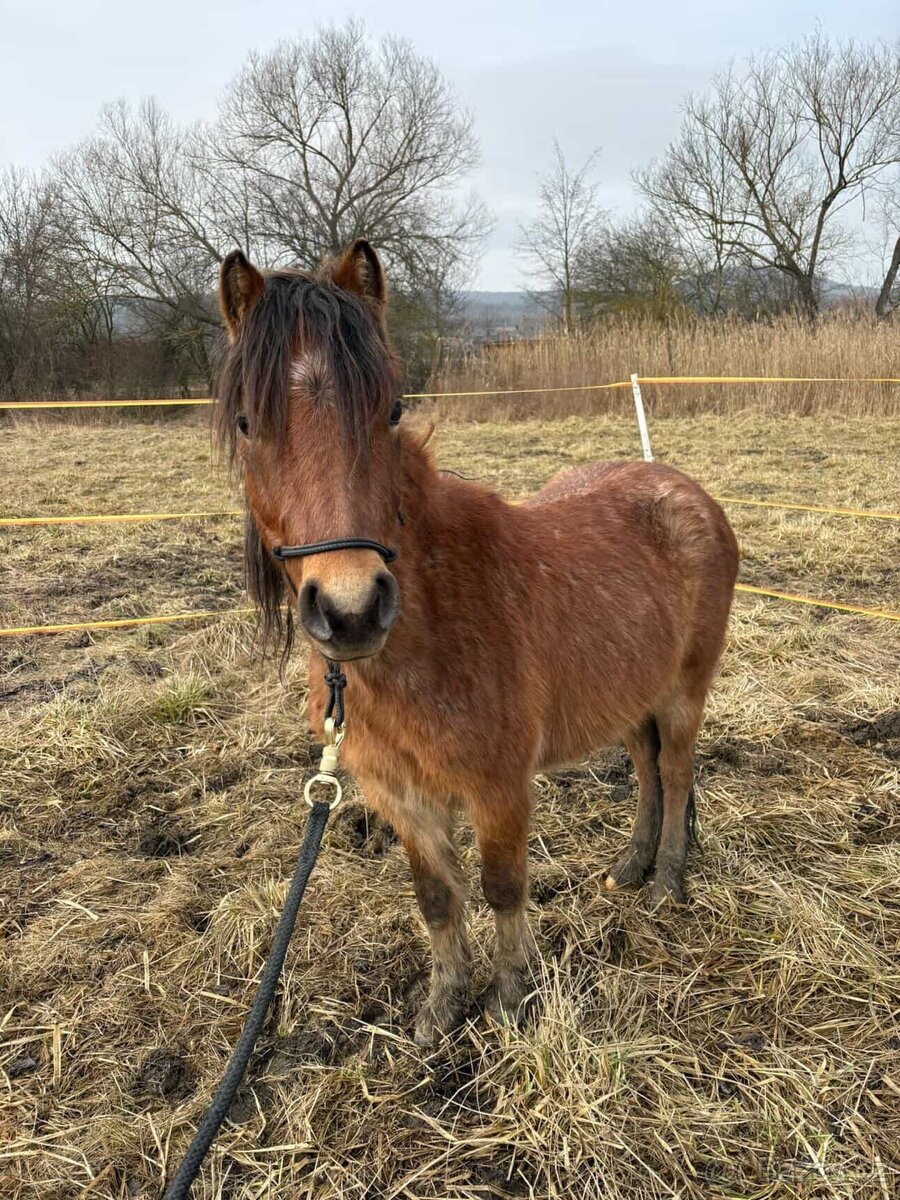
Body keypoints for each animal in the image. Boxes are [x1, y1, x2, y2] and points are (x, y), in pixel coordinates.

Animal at [215, 239, 739, 1046]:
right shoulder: (399, 796)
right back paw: (630, 867)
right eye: (247, 424)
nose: (352, 609)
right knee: (649, 774)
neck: (431, 628)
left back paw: (667, 884)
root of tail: (688, 494)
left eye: (392, 410)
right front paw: (441, 1007)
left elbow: (500, 887)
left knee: (677, 774)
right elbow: (436, 896)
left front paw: (511, 1000)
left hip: (684, 691)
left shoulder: (498, 788)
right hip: (630, 698)